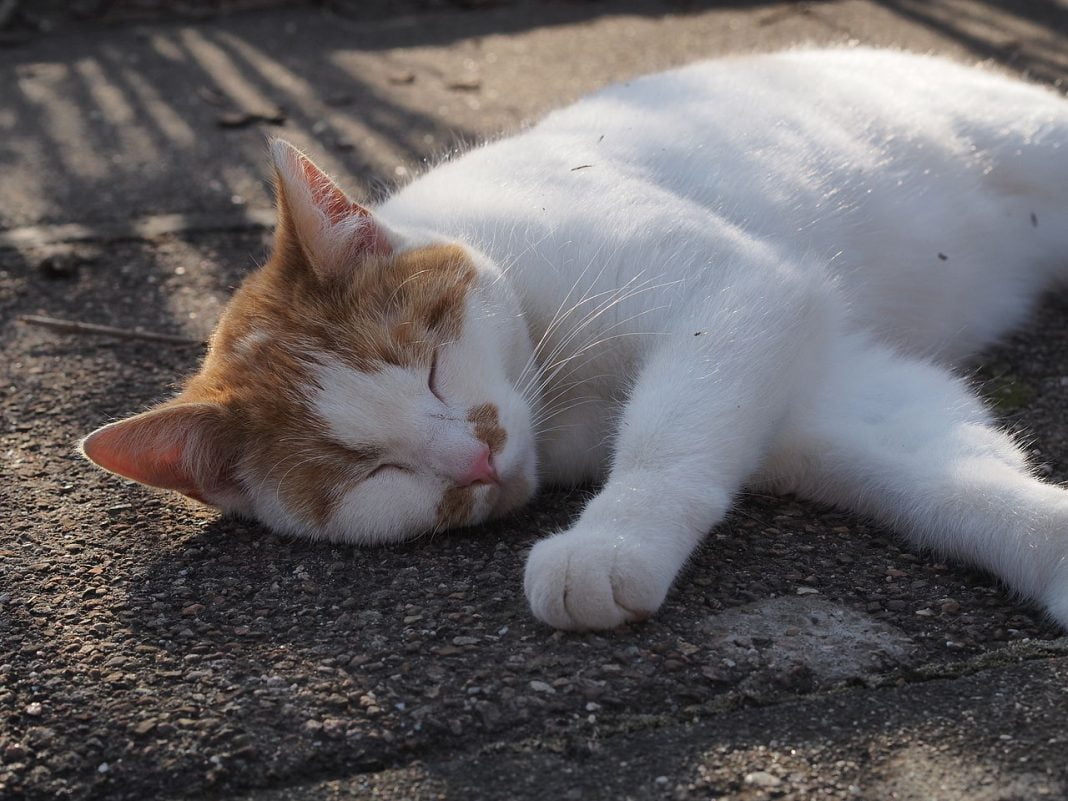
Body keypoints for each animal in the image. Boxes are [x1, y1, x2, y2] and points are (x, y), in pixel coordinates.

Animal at [81, 46, 1068, 632]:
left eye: (430, 366)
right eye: (368, 473)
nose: (475, 456)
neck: (561, 399)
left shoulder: (737, 294)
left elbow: (668, 435)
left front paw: (610, 543)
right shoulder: (822, 392)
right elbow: (948, 482)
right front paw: (1044, 539)